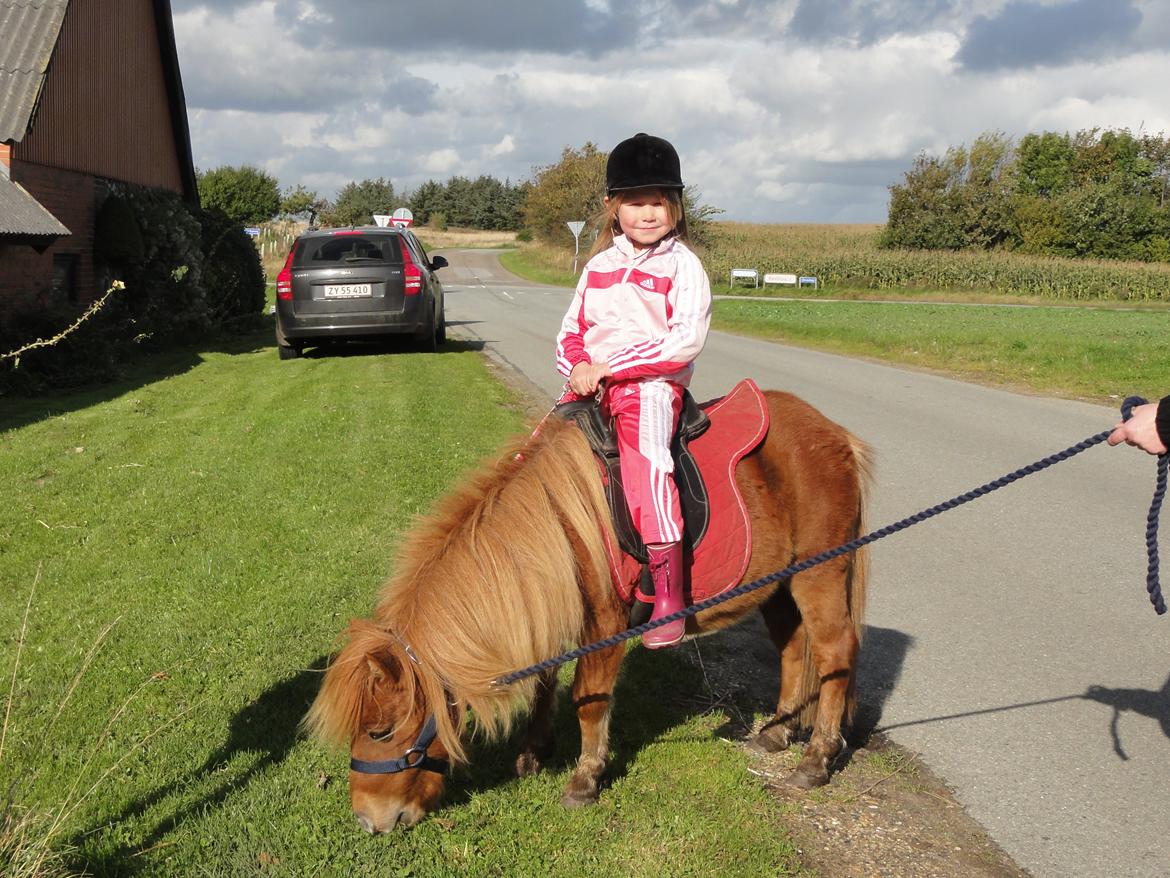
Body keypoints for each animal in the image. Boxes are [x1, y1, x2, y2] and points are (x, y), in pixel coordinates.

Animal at [306, 391, 875, 833]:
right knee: (795, 651)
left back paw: (817, 758)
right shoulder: (548, 610)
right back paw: (777, 732)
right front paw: (534, 752)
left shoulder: (605, 624)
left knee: (835, 652)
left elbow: (587, 699)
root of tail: (836, 434)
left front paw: (584, 778)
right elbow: (543, 685)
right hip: (779, 586)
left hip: (821, 572)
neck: (560, 523)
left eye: (381, 732)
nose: (369, 821)